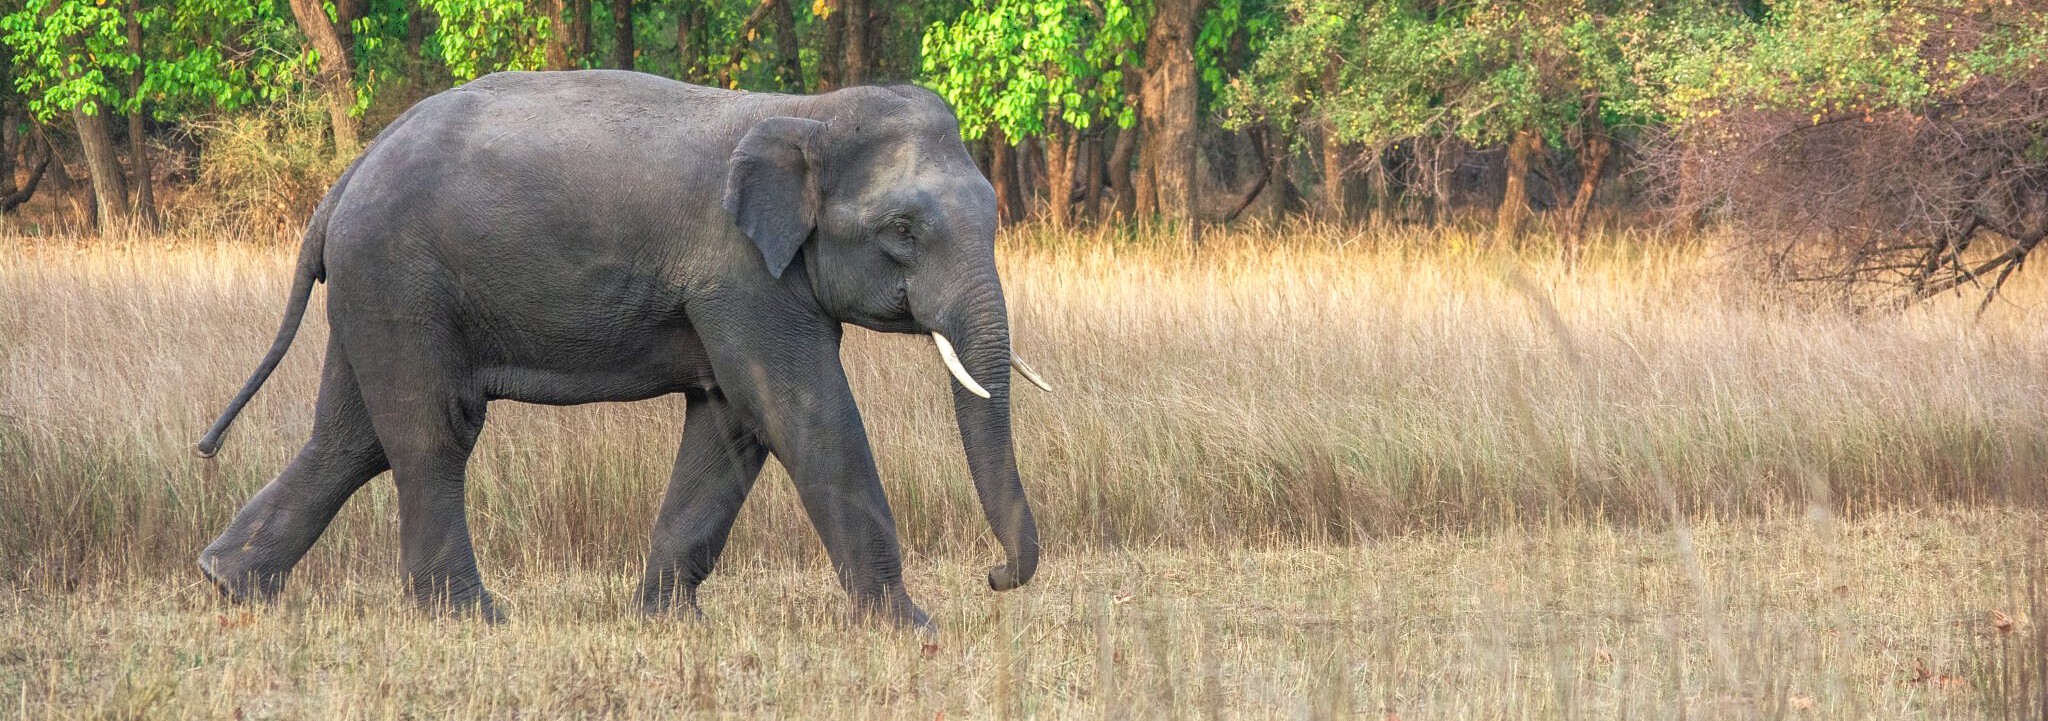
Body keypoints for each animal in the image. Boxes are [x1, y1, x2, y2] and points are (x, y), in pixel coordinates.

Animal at [192, 70, 1051, 628]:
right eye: (902, 230)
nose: (994, 574)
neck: (805, 113)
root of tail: (346, 177)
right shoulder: (738, 272)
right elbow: (804, 413)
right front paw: (912, 626)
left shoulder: (740, 287)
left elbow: (732, 422)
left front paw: (666, 621)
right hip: (402, 279)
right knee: (432, 433)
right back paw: (472, 617)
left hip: (374, 288)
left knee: (350, 438)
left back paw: (229, 584)